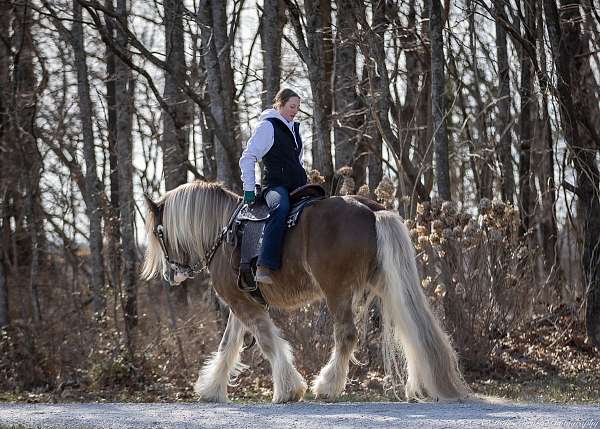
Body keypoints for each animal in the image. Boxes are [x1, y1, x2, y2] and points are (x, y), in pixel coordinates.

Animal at [142, 180, 468, 402]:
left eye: (159, 232)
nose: (171, 275)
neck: (224, 232)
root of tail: (370, 210)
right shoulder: (241, 302)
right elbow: (228, 345)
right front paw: (212, 388)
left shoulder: (241, 302)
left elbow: (267, 342)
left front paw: (288, 388)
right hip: (386, 283)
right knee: (413, 329)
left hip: (337, 290)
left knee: (346, 335)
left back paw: (327, 386)